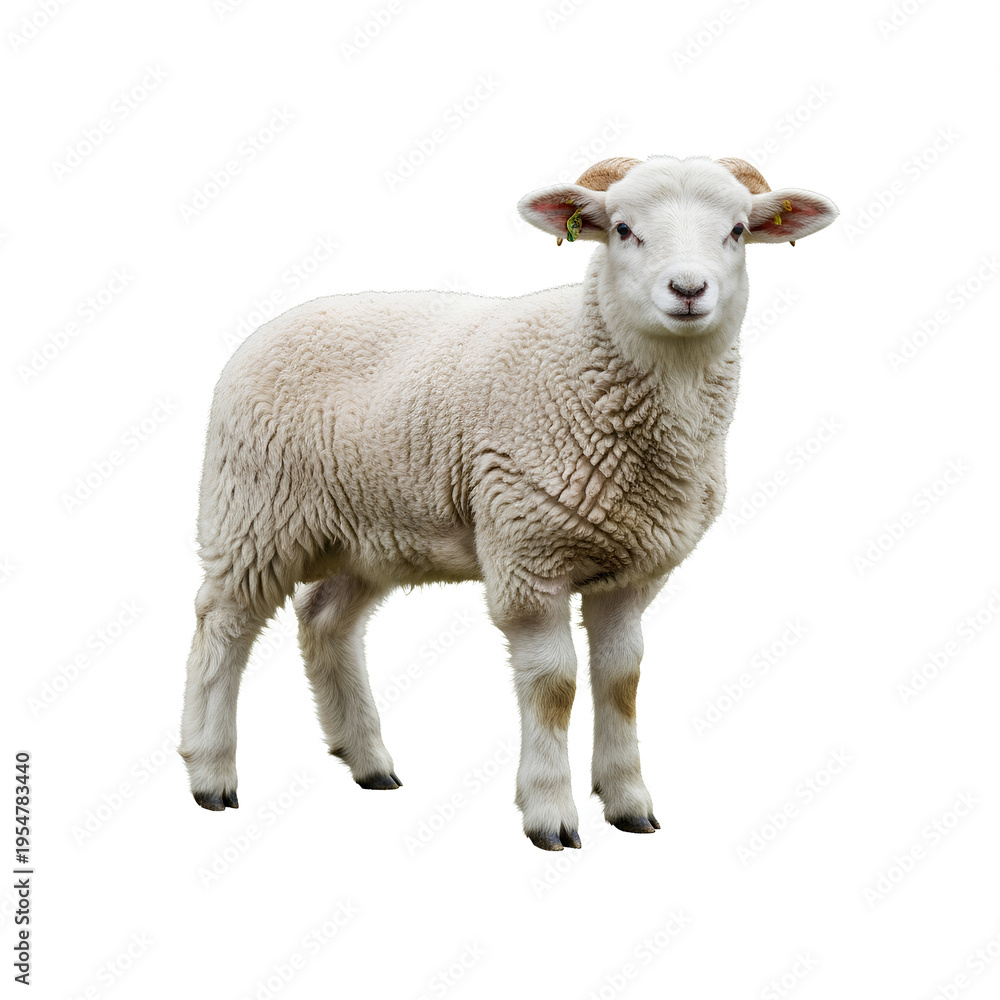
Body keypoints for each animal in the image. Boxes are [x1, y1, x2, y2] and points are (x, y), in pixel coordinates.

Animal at [179, 155, 838, 850]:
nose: (688, 289)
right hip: (253, 510)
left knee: (325, 620)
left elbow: (622, 680)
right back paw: (210, 771)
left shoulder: (632, 571)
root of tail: (275, 324)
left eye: (738, 230)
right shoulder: (528, 553)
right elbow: (555, 685)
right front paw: (550, 813)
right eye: (623, 229)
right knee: (222, 626)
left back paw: (368, 761)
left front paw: (629, 803)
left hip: (371, 530)